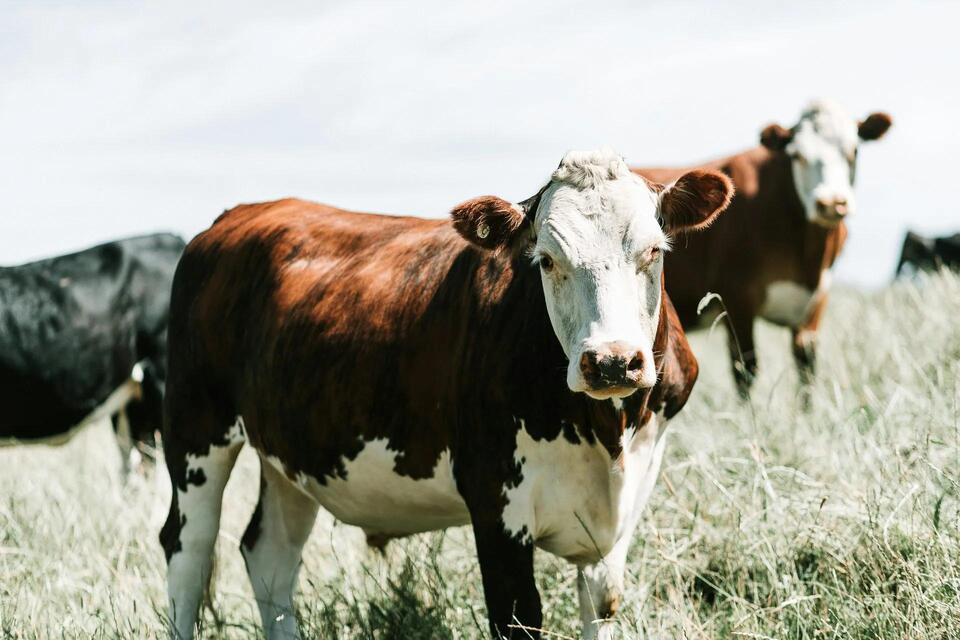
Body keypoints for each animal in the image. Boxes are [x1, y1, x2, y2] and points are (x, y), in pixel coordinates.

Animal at [158, 148, 733, 639]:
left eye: (654, 250)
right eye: (547, 259)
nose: (612, 360)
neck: (606, 431)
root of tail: (235, 217)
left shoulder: (622, 513)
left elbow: (602, 605)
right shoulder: (495, 506)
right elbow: (518, 616)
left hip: (290, 455)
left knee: (270, 558)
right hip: (194, 430)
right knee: (187, 549)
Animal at [634, 101, 892, 397]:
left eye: (854, 151)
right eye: (798, 155)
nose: (830, 203)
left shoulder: (814, 306)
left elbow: (806, 370)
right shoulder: (736, 302)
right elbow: (745, 371)